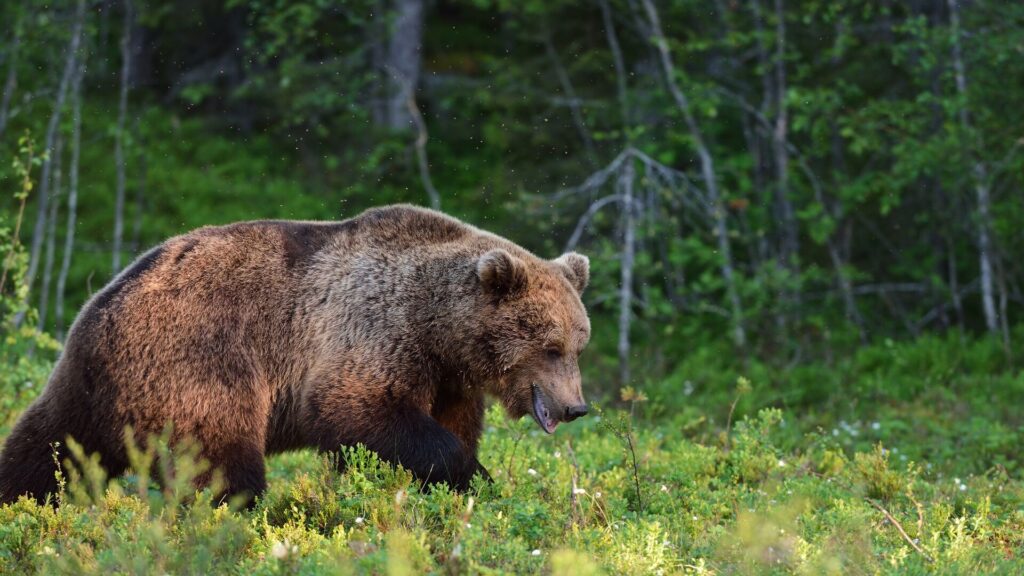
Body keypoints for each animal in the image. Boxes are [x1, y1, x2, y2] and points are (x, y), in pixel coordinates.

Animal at [0, 203, 593, 500]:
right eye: (551, 345)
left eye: (578, 344)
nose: (575, 407)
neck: (439, 327)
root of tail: (102, 306)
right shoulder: (373, 329)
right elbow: (357, 410)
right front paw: (469, 474)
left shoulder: (447, 375)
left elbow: (450, 424)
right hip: (196, 362)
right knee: (220, 460)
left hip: (87, 385)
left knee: (46, 446)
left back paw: (24, 499)